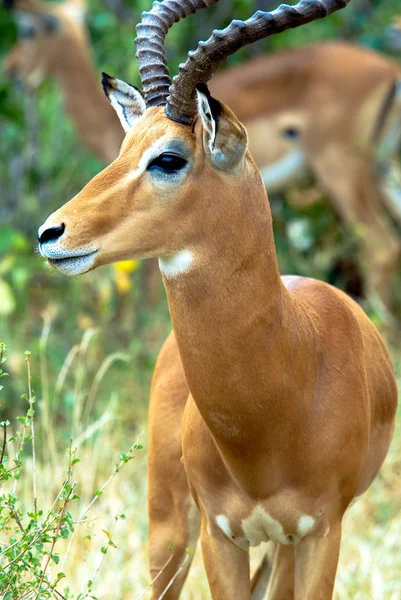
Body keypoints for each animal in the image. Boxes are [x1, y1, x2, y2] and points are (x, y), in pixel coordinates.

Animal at [3, 0, 401, 314]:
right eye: (125, 148)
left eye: (168, 159)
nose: (49, 234)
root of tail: (390, 72)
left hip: (343, 173)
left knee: (381, 249)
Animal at [38, 1, 396, 596]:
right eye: (124, 149)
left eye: (168, 159)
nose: (51, 234)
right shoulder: (219, 534)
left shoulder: (323, 532)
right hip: (170, 525)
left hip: (281, 545)